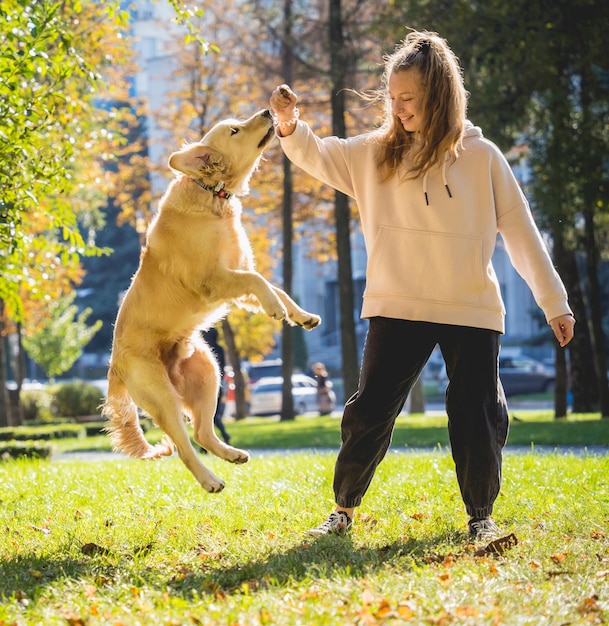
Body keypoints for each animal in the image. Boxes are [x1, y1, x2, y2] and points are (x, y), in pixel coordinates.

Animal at [103, 108, 324, 492]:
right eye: (234, 130)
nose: (268, 111)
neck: (212, 195)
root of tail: (114, 365)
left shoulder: (239, 274)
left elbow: (273, 285)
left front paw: (300, 314)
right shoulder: (212, 280)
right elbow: (259, 280)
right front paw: (277, 309)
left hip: (208, 372)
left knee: (203, 432)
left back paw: (233, 454)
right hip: (163, 396)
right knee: (185, 446)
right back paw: (209, 480)